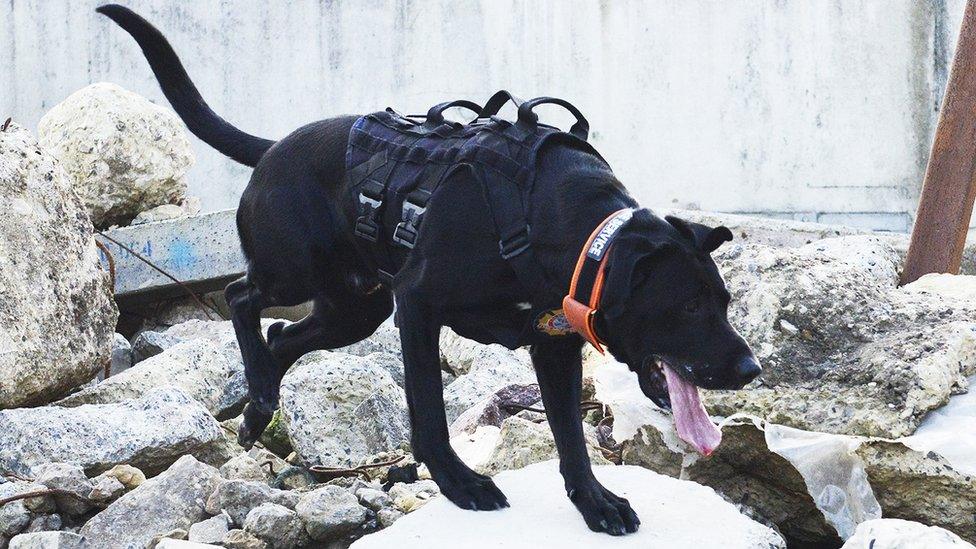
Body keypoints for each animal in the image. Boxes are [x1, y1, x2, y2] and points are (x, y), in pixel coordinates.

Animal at [99, 5, 764, 536]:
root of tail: (273, 148)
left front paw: (595, 502)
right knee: (242, 296)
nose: (751, 369)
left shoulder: (553, 344)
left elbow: (572, 439)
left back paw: (261, 404)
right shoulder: (417, 309)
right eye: (688, 306)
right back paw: (260, 390)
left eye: (725, 302)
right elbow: (431, 414)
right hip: (298, 272)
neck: (569, 229)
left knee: (282, 334)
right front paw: (460, 483)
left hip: (355, 308)